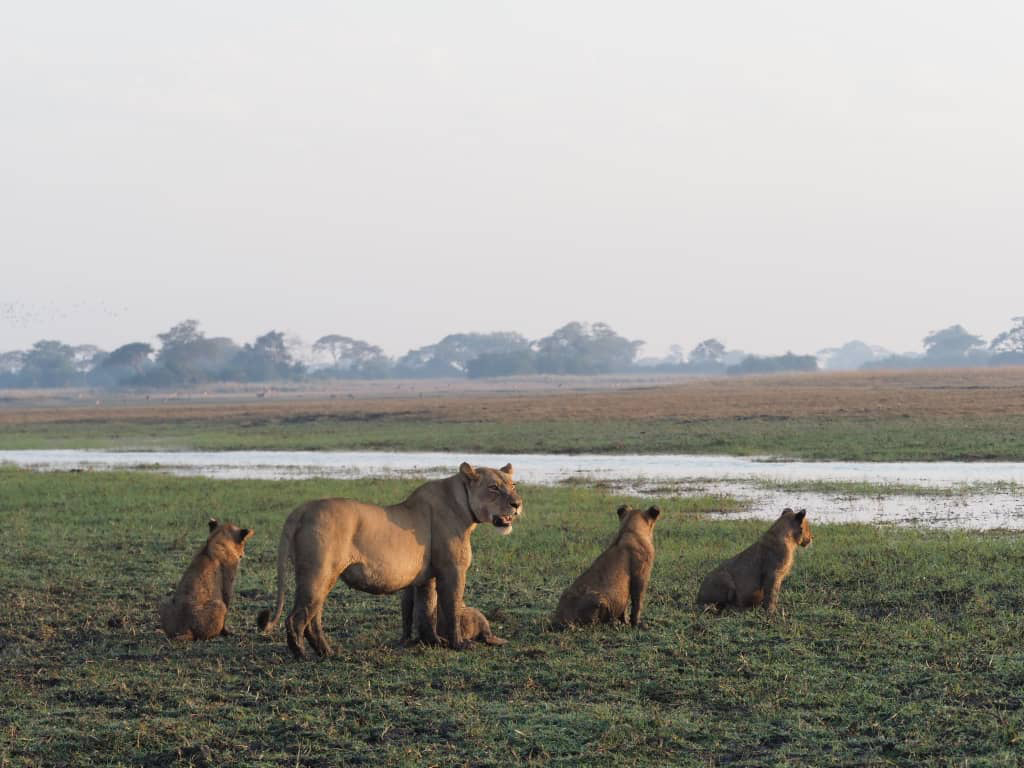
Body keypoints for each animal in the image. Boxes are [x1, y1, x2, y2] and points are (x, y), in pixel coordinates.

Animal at [257, 462, 522, 658]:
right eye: (493, 487)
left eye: (513, 485)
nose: (517, 504)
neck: (463, 505)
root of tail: (301, 509)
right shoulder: (453, 570)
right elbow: (452, 607)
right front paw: (458, 644)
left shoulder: (426, 577)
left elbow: (427, 610)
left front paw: (434, 641)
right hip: (317, 573)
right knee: (296, 617)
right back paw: (301, 655)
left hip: (322, 577)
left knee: (313, 618)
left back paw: (327, 652)